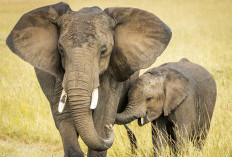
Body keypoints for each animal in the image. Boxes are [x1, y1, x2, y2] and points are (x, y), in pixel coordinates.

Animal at [6, 1, 171, 156]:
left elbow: (102, 117)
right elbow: (64, 119)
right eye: (60, 50)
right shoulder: (60, 75)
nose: (109, 129)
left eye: (104, 50)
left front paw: (103, 126)